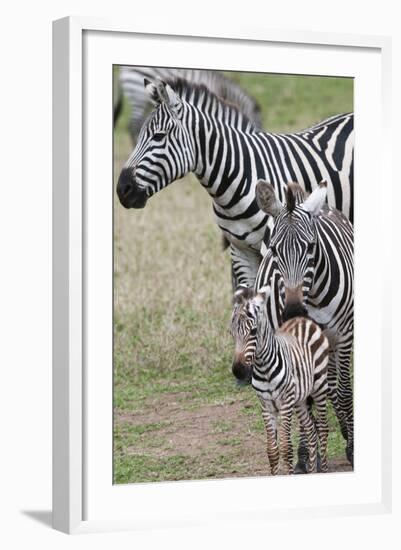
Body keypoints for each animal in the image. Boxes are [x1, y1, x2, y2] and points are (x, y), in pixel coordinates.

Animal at [231, 286, 328, 476]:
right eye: (231, 333)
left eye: (253, 332)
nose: (238, 371)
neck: (264, 369)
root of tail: (302, 319)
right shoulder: (266, 406)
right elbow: (272, 450)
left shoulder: (285, 404)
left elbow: (285, 448)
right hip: (299, 399)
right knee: (311, 431)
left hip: (319, 387)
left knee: (323, 430)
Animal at [253, 182, 354, 470]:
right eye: (274, 250)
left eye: (311, 247)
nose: (294, 310)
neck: (314, 297)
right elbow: (304, 398)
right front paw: (303, 456)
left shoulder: (345, 336)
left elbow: (344, 391)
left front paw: (352, 448)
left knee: (334, 387)